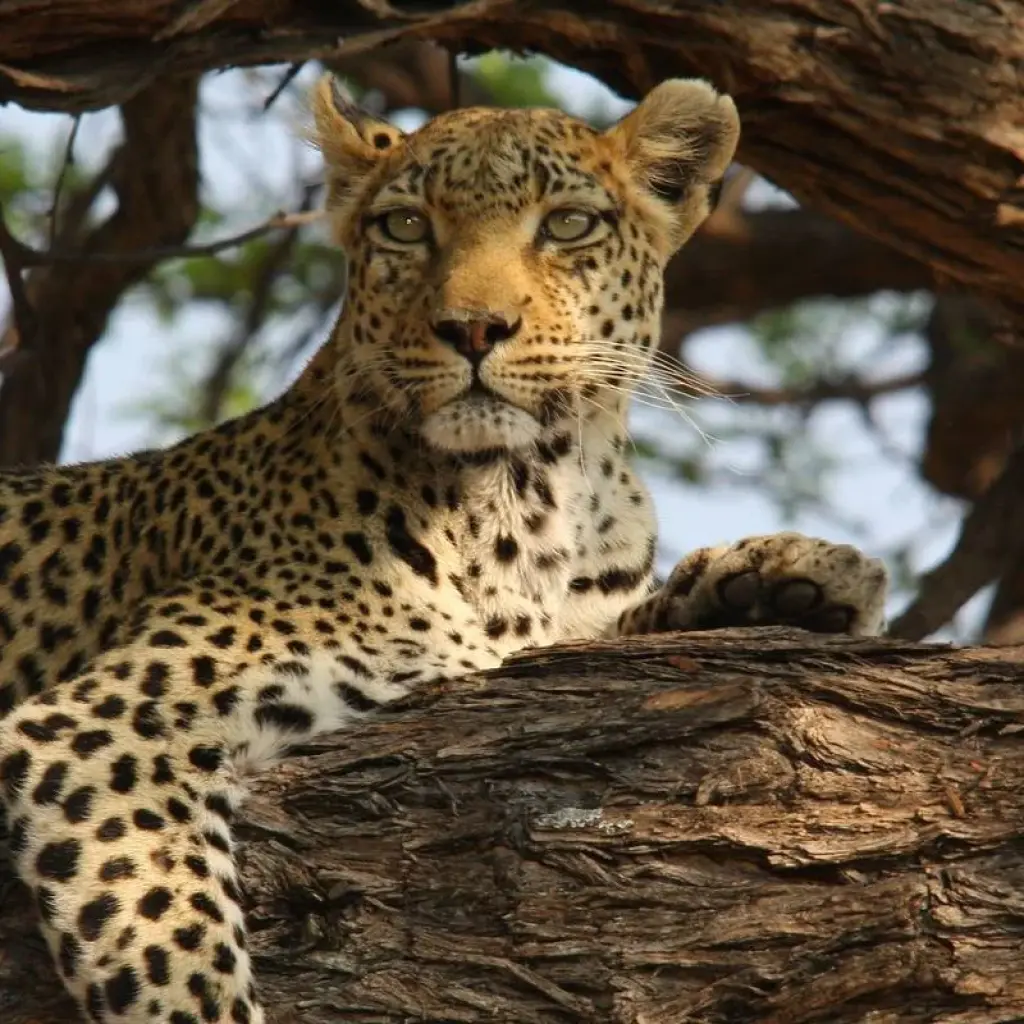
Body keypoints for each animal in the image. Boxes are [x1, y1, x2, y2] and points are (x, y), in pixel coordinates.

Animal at [0, 75, 888, 1024]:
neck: (535, 499)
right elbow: (172, 947)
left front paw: (788, 578)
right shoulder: (100, 733)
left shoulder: (557, 634)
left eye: (567, 224)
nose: (473, 328)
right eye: (405, 226)